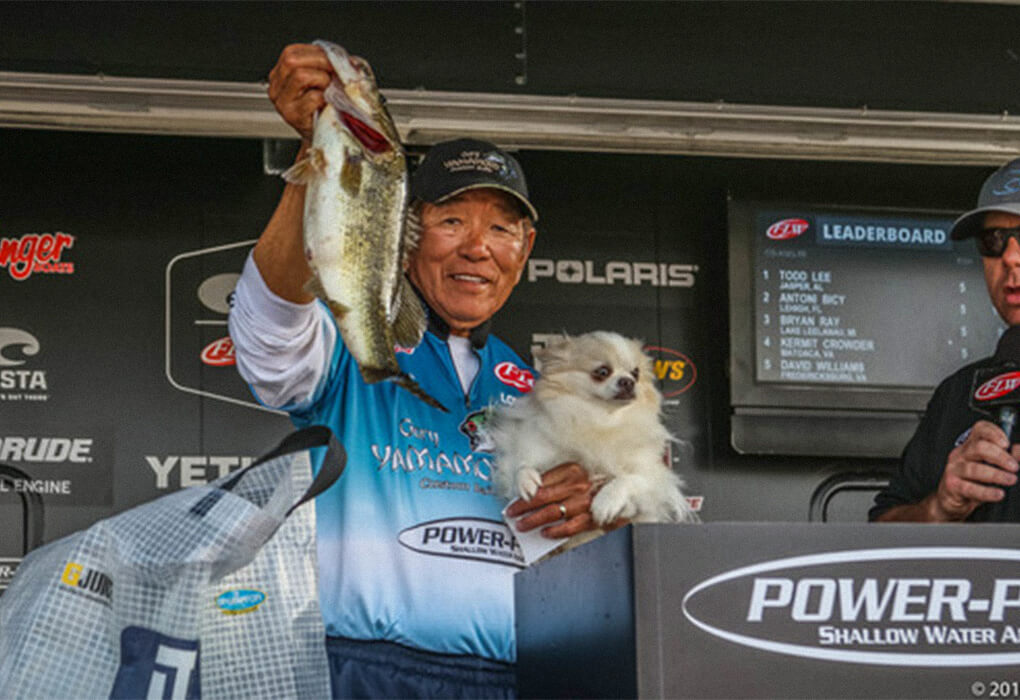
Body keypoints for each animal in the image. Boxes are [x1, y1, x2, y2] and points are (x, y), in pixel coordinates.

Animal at [489, 332, 697, 534]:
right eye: (602, 372)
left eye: (635, 373)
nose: (628, 381)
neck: (601, 419)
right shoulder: (529, 448)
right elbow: (520, 465)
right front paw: (525, 480)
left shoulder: (654, 475)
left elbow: (630, 479)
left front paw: (607, 502)